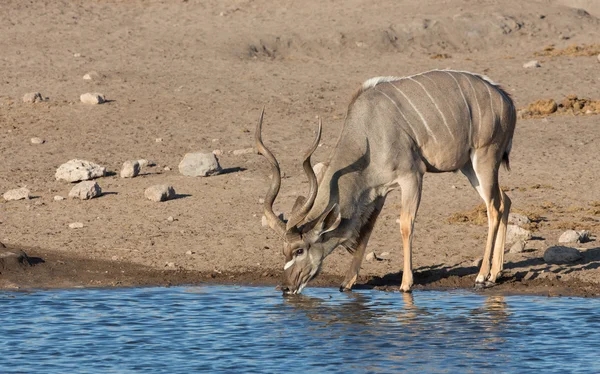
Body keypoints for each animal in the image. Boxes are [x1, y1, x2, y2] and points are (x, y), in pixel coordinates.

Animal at [256, 68, 516, 294]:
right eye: (283, 250)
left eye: (299, 250)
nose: (286, 287)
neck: (368, 134)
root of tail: (505, 98)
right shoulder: (378, 191)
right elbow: (367, 229)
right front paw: (347, 283)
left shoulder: (412, 176)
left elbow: (406, 225)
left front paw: (406, 284)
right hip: (469, 167)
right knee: (505, 200)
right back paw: (495, 274)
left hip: (484, 157)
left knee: (494, 208)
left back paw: (481, 277)